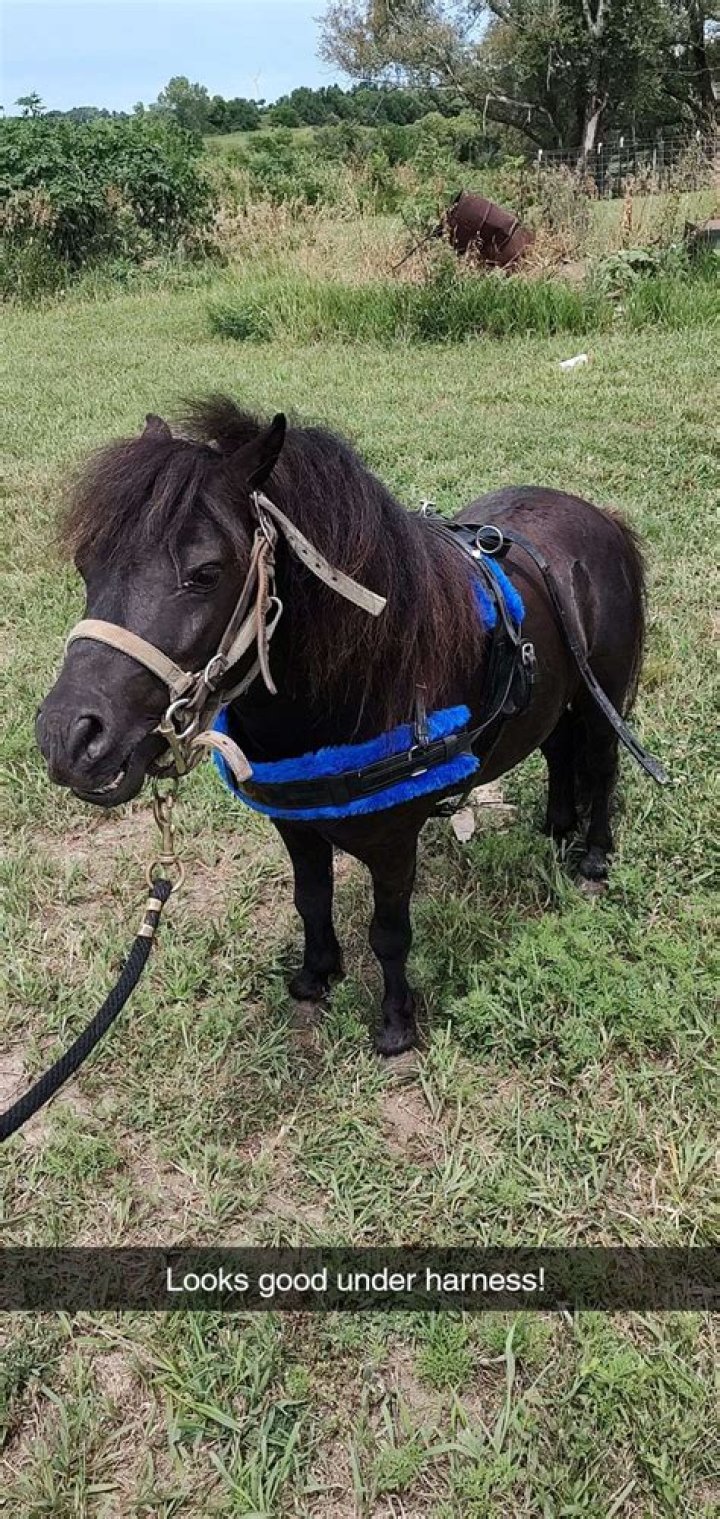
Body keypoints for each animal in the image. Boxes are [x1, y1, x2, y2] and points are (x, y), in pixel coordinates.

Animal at [36, 397, 648, 1057]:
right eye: (86, 564)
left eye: (205, 573)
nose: (67, 738)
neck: (364, 679)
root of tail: (594, 515)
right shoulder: (296, 825)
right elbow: (311, 899)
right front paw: (316, 976)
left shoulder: (394, 840)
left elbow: (389, 932)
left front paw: (396, 1024)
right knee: (558, 752)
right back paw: (556, 829)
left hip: (601, 698)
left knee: (602, 764)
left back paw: (592, 855)